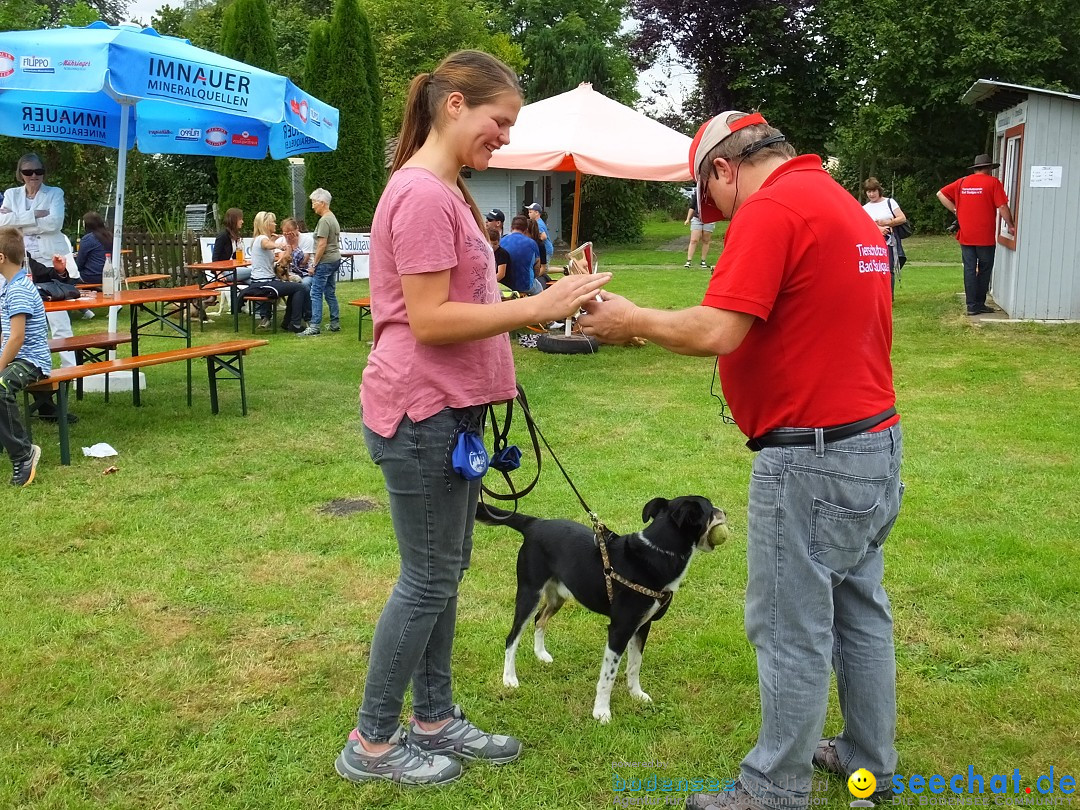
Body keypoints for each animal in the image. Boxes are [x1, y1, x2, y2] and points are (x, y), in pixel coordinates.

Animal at [475, 498, 721, 725]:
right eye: (711, 510)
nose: (724, 512)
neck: (658, 553)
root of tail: (534, 523)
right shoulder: (619, 629)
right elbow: (608, 676)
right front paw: (601, 712)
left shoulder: (642, 626)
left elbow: (634, 665)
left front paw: (637, 695)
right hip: (529, 593)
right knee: (512, 637)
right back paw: (509, 678)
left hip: (557, 595)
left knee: (540, 619)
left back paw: (541, 654)